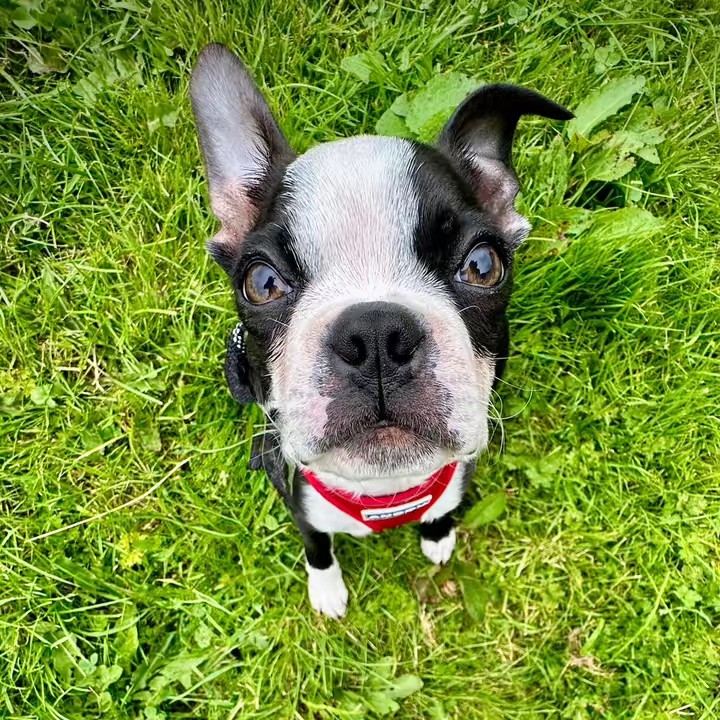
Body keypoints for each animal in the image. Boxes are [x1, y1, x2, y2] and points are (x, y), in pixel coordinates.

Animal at [190, 44, 572, 618]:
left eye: (483, 265)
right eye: (261, 282)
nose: (373, 335)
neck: (386, 490)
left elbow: (443, 510)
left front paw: (438, 535)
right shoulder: (303, 512)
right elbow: (317, 547)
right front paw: (326, 588)